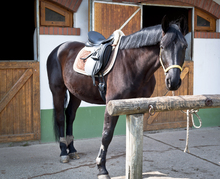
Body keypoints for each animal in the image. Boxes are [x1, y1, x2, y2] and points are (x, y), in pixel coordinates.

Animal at [46, 15, 187, 179]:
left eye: (184, 46)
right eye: (162, 46)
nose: (173, 81)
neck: (133, 65)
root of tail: (59, 48)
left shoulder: (137, 105)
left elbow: (135, 135)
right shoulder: (111, 105)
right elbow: (107, 135)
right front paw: (101, 168)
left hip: (75, 93)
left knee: (70, 115)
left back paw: (73, 150)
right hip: (58, 90)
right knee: (60, 117)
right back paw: (64, 152)